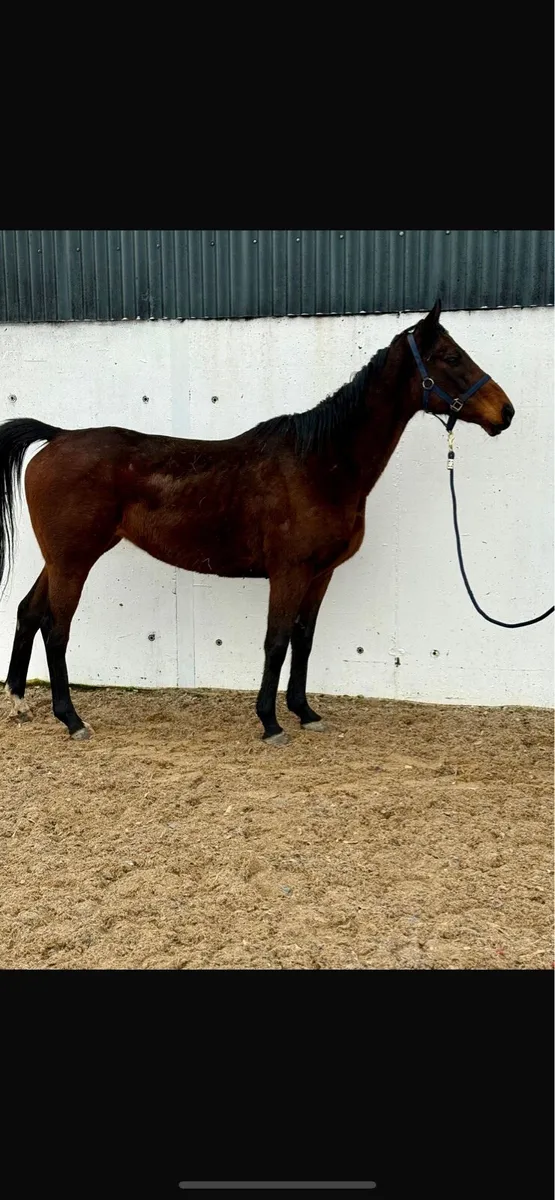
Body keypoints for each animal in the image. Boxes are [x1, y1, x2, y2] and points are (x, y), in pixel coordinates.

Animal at [0, 300, 514, 745]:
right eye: (451, 356)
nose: (505, 412)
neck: (320, 464)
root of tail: (58, 437)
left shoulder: (319, 574)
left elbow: (303, 641)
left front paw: (305, 712)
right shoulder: (288, 572)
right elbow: (276, 642)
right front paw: (270, 722)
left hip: (61, 559)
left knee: (28, 612)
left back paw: (20, 702)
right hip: (74, 561)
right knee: (56, 629)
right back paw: (71, 719)